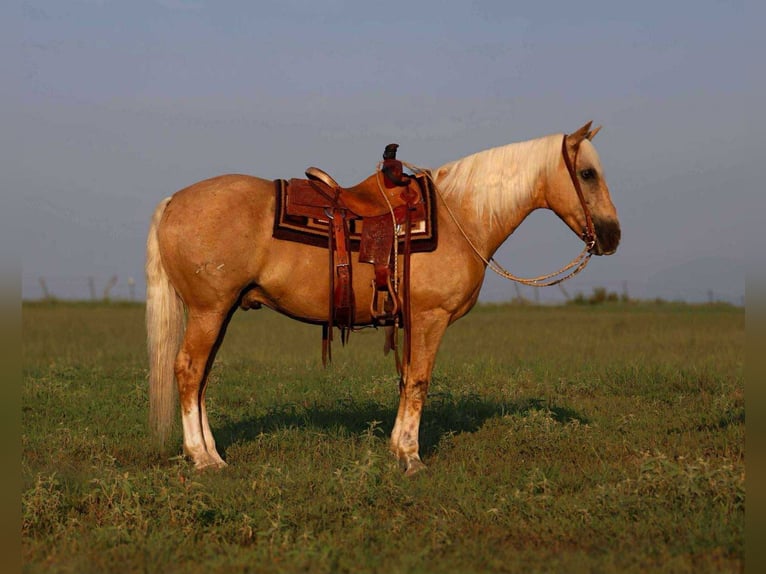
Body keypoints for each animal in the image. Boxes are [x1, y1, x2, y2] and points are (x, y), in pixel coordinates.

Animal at [146, 121, 621, 475]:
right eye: (587, 174)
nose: (612, 236)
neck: (460, 216)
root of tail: (173, 201)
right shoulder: (430, 318)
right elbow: (419, 381)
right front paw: (411, 457)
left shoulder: (412, 321)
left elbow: (406, 379)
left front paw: (396, 448)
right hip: (209, 311)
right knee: (188, 371)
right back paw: (202, 458)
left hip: (220, 312)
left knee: (201, 377)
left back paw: (213, 453)